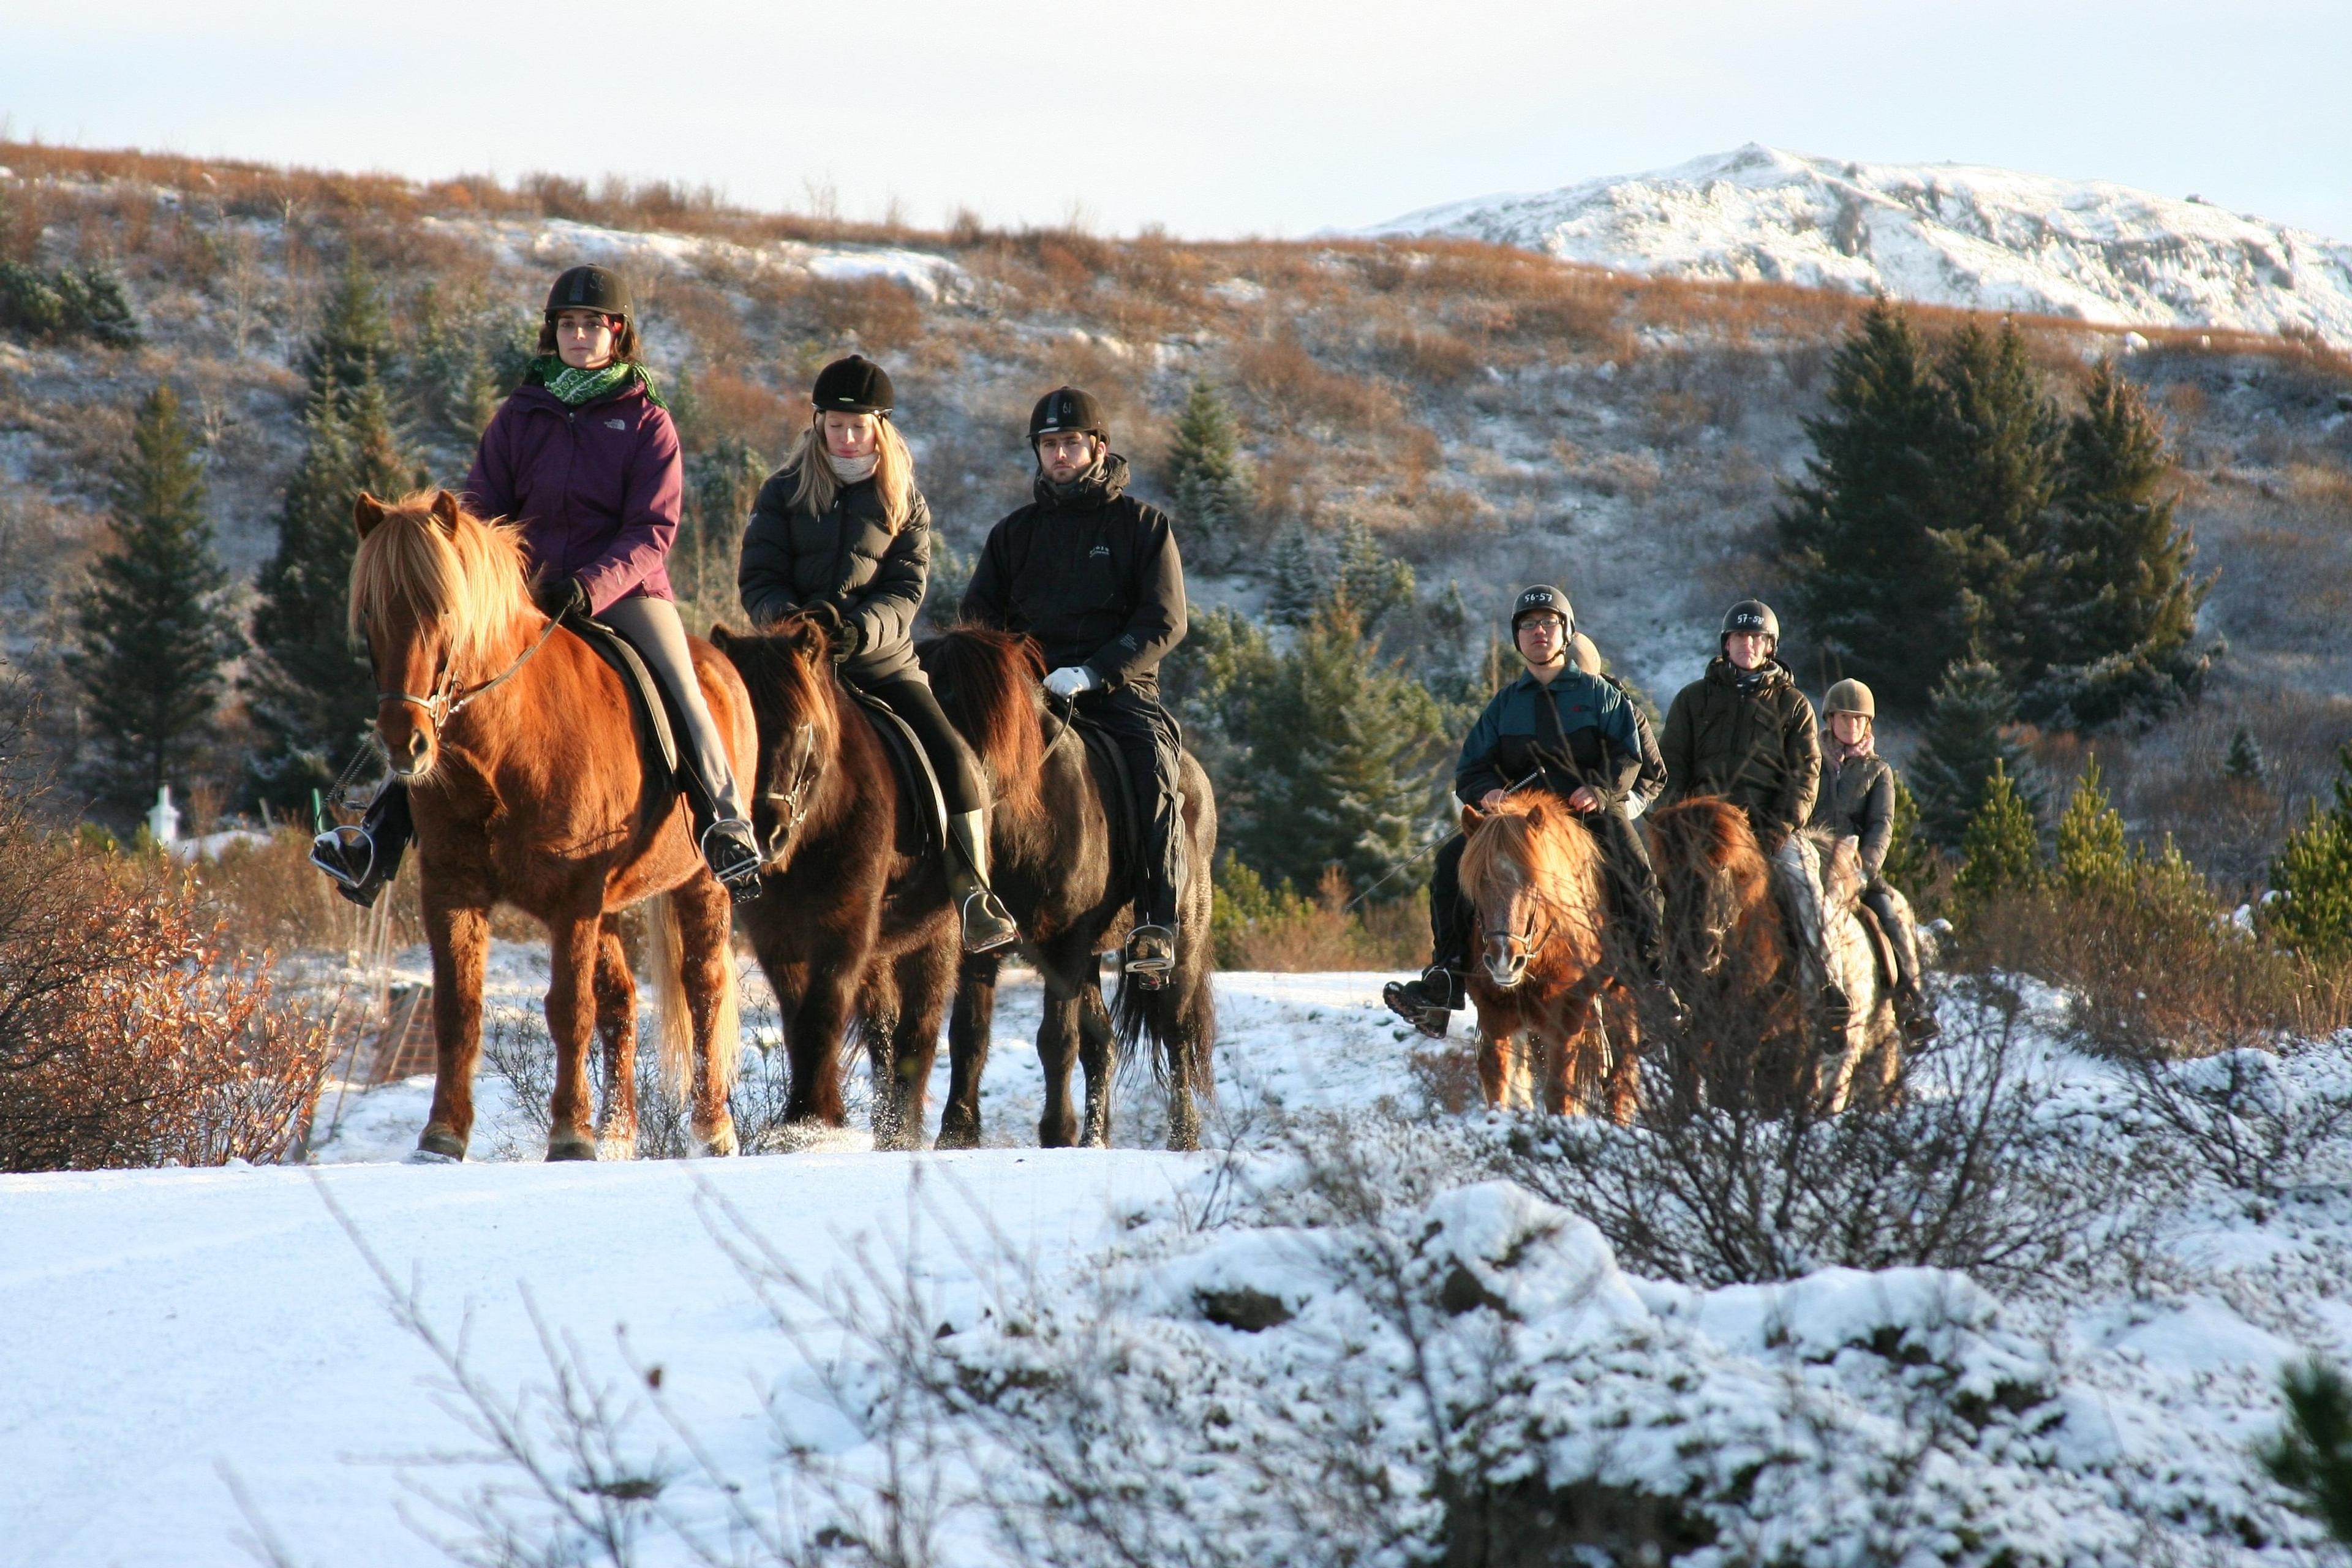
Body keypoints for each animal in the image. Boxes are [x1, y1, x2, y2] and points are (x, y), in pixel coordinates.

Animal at [349, 489, 749, 1161]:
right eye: (371, 617)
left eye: (445, 610)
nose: (405, 743)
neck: (504, 749)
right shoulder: (452, 888)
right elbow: (458, 1009)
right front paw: (442, 1136)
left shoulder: (574, 896)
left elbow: (568, 1010)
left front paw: (569, 1135)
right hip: (608, 907)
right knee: (622, 1001)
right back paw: (617, 1134)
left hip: (699, 884)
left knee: (704, 987)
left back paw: (713, 1129)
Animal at [706, 618, 962, 1150]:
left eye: (802, 727)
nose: (764, 835)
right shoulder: (776, 939)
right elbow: (796, 1018)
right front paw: (807, 1114)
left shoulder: (844, 930)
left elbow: (822, 1013)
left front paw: (812, 1116)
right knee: (885, 1033)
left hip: (937, 938)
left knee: (919, 1031)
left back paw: (905, 1129)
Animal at [916, 627, 1219, 1152]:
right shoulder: (981, 948)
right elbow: (969, 1035)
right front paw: (957, 1133)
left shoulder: (1065, 945)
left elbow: (1055, 1040)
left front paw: (1056, 1131)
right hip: (1093, 959)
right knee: (1103, 1043)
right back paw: (1095, 1139)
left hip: (1178, 948)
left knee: (1176, 1034)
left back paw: (1183, 1137)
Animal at [1455, 795, 1639, 1120]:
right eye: (1480, 882)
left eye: (1534, 881)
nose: (1504, 960)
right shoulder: (1495, 1020)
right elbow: (1498, 1091)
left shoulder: (1567, 1024)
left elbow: (1559, 1096)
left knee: (1620, 1082)